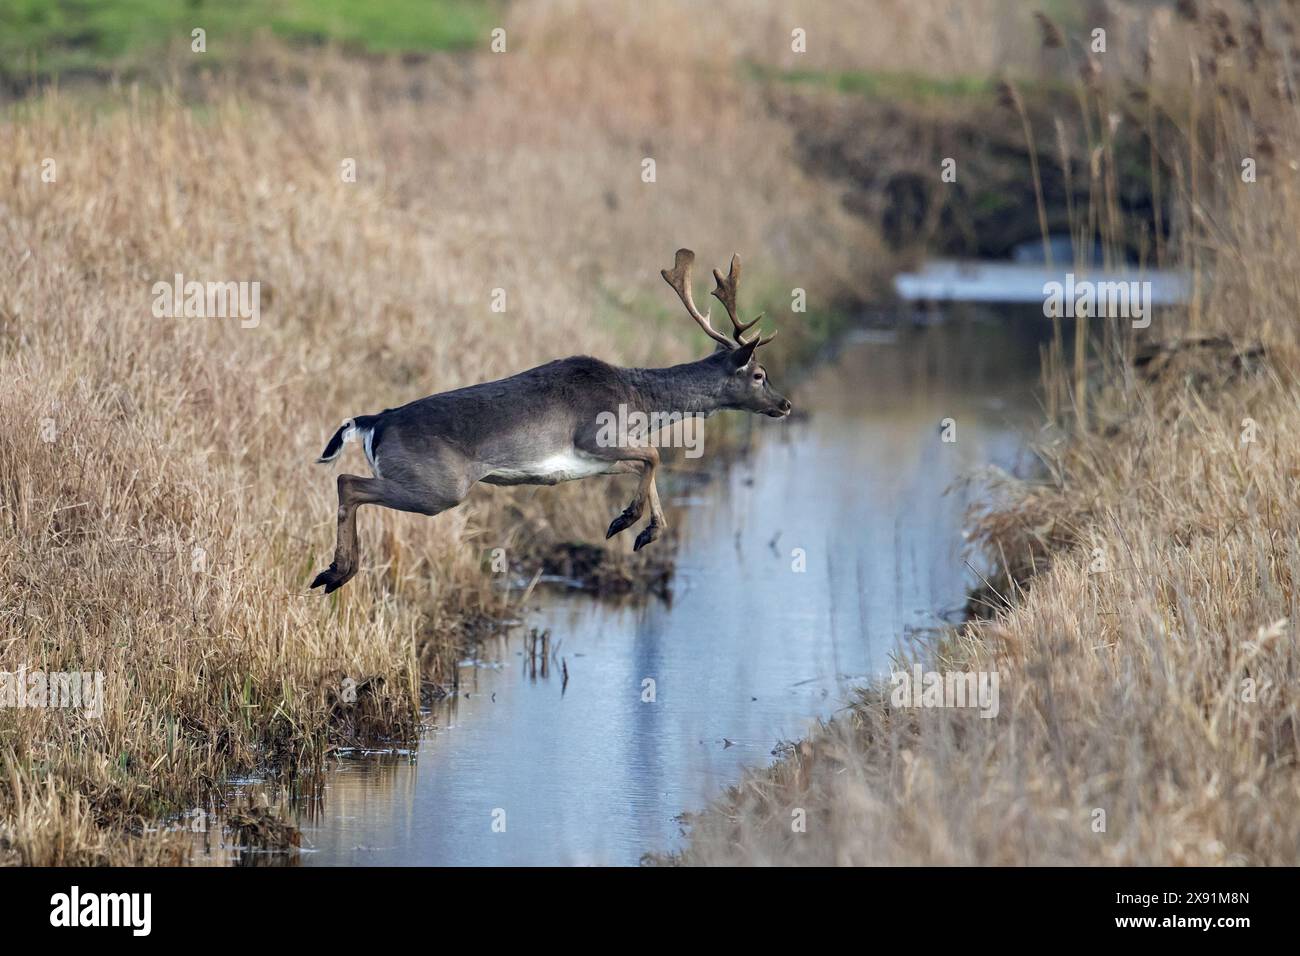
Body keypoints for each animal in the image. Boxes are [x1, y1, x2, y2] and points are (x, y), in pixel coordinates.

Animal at [312, 248, 790, 590]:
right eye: (759, 374)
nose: (785, 404)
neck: (637, 400)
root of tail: (375, 421)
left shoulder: (593, 461)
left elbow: (647, 464)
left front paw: (641, 530)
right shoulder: (594, 434)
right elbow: (655, 454)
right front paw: (626, 521)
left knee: (346, 483)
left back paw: (333, 574)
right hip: (438, 486)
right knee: (347, 482)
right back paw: (336, 573)